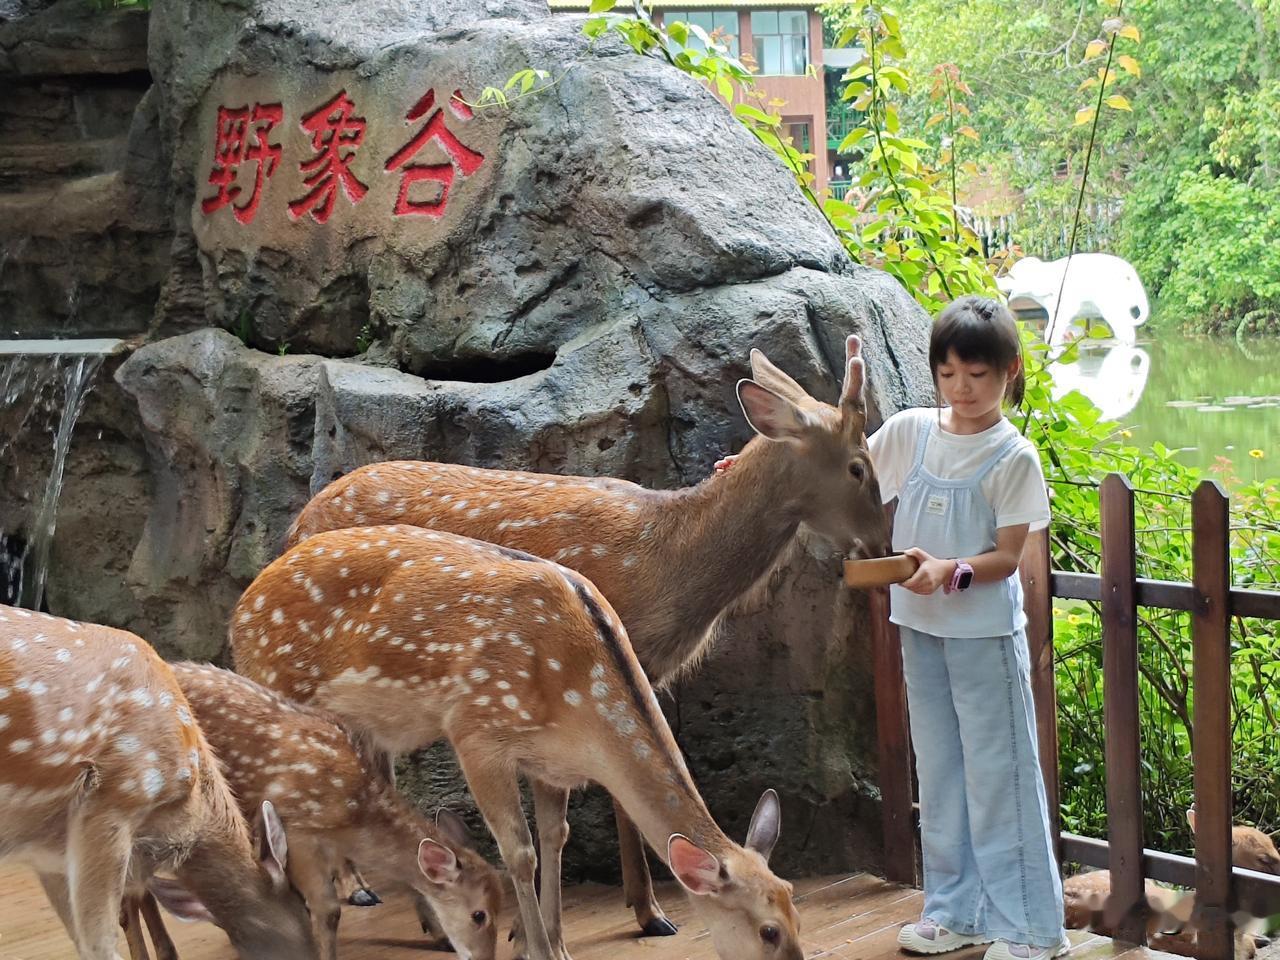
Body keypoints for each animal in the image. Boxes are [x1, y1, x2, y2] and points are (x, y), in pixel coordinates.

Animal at [118, 662, 504, 960]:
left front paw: (436, 933)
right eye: (479, 915)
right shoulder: (298, 828)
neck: (353, 813)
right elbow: (328, 910)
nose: (482, 957)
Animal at [229, 524, 806, 960]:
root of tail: (240, 611)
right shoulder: (475, 731)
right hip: (279, 692)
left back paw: (432, 926)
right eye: (768, 930)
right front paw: (538, 949)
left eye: (795, 904)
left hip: (369, 723)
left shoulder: (551, 763)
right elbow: (519, 851)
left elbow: (555, 838)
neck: (578, 698)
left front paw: (549, 942)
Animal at [285, 336, 890, 938]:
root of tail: (296, 525)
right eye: (859, 467)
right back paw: (361, 889)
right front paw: (649, 911)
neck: (668, 559)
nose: (882, 542)